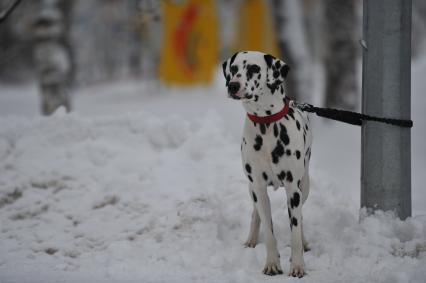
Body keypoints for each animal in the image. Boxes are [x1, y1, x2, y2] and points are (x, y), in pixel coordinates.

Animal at [223, 50, 312, 278]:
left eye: (254, 68)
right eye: (234, 69)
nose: (233, 85)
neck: (267, 125)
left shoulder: (293, 189)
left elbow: (295, 231)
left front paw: (298, 265)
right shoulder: (259, 187)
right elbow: (269, 230)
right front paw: (272, 263)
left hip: (304, 186)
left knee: (300, 216)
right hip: (251, 188)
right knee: (256, 214)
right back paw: (252, 239)